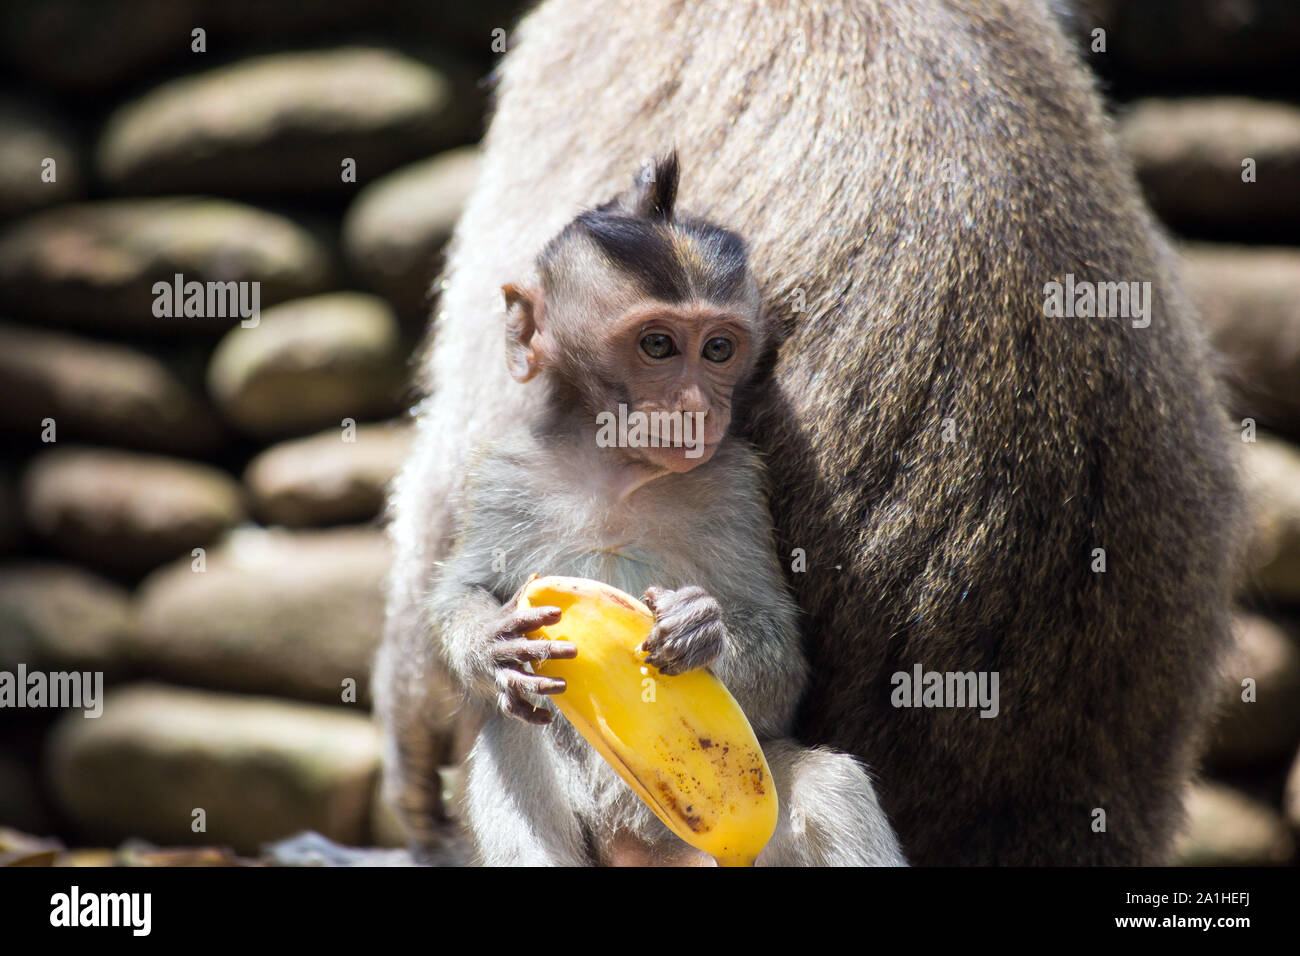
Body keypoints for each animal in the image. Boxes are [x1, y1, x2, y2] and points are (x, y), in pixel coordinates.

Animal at [402, 152, 905, 866]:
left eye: (719, 349)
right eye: (659, 345)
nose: (697, 405)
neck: (618, 471)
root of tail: (644, 851)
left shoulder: (737, 483)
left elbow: (780, 659)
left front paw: (702, 628)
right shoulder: (500, 472)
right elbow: (460, 588)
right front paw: (488, 641)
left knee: (830, 786)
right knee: (512, 743)